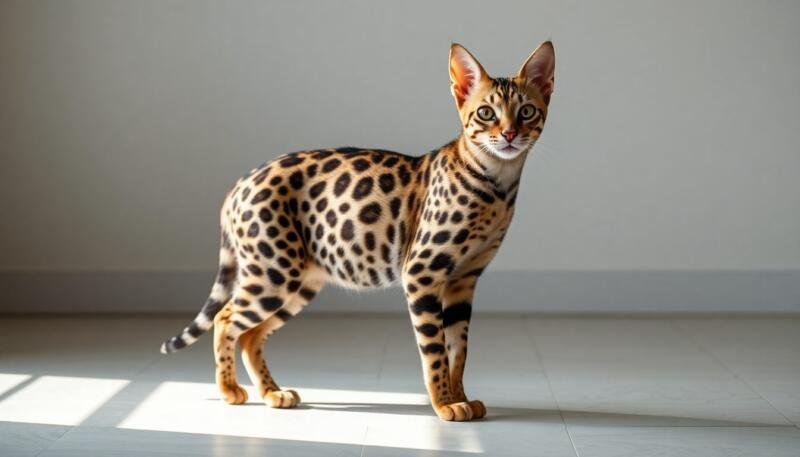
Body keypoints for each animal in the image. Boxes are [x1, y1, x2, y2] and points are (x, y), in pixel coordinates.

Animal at [161, 41, 555, 421]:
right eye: (486, 113)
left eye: (526, 112)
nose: (509, 134)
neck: (497, 185)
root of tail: (239, 183)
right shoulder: (422, 273)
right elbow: (435, 352)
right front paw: (444, 403)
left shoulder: (463, 281)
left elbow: (459, 351)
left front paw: (460, 397)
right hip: (274, 273)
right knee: (225, 319)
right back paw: (229, 389)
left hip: (300, 282)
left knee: (251, 335)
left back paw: (273, 393)